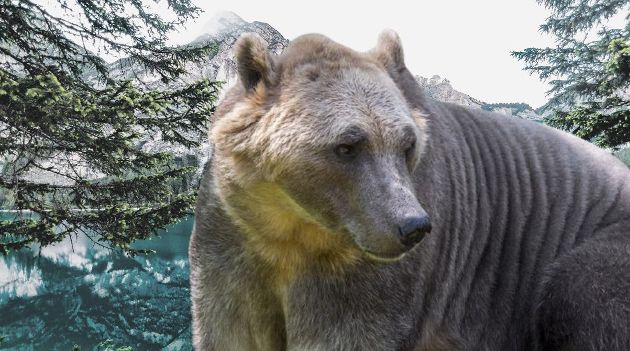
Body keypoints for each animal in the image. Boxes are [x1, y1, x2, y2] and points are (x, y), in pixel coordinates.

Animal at [190, 31, 630, 351]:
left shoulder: (368, 272)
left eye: (407, 145)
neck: (290, 225)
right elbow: (229, 329)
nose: (413, 226)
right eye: (347, 145)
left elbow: (351, 332)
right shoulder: (232, 240)